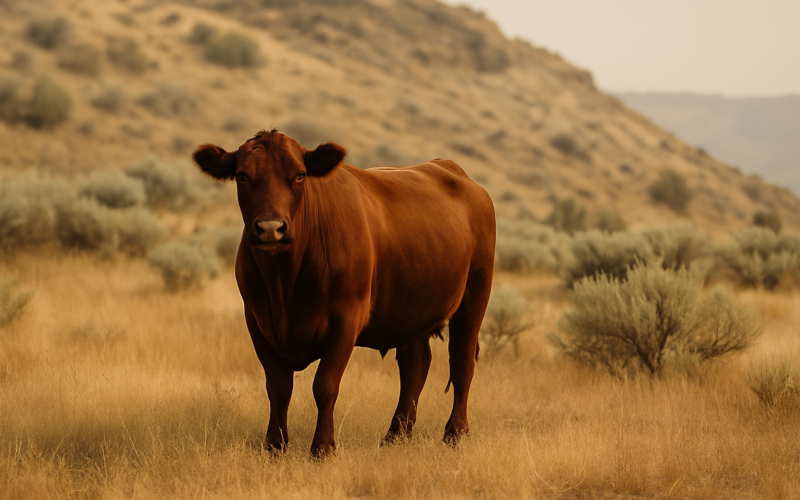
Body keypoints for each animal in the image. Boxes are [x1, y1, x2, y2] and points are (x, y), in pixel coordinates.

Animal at [192, 130, 495, 457]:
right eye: (242, 176)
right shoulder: (257, 320)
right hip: (411, 308)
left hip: (475, 294)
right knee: (415, 365)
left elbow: (325, 385)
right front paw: (274, 447)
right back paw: (396, 436)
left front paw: (322, 448)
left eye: (299, 175)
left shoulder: (346, 317)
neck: (285, 284)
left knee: (462, 361)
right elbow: (278, 387)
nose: (271, 228)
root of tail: (452, 169)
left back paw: (454, 434)